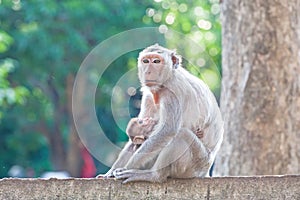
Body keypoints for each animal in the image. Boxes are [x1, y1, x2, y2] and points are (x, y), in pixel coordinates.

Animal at [98, 43, 223, 183]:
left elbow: (167, 131)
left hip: (196, 164)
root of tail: (205, 171)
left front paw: (126, 168)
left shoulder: (172, 93)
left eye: (156, 61)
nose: (148, 72)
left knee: (181, 135)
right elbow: (135, 140)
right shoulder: (149, 95)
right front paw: (111, 172)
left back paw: (153, 175)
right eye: (146, 61)